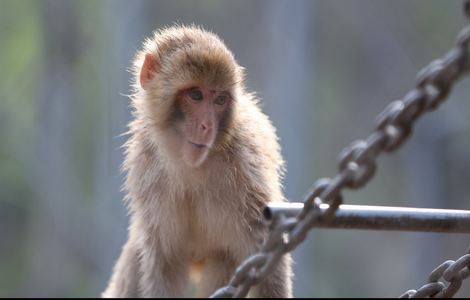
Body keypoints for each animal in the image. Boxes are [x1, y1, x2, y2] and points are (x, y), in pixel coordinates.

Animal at [102, 24, 292, 296]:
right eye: (195, 95)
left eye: (220, 100)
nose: (207, 126)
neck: (190, 166)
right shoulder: (144, 163)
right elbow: (165, 262)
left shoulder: (246, 165)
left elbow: (267, 259)